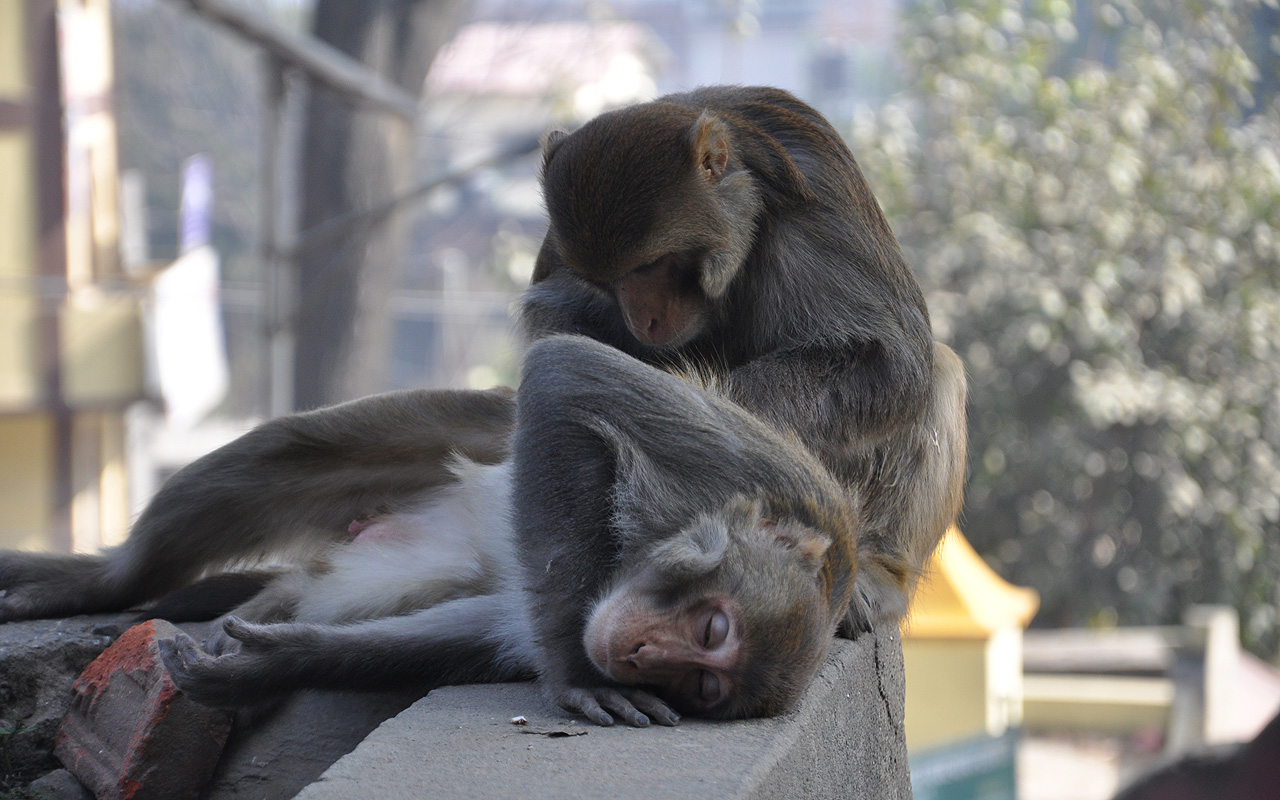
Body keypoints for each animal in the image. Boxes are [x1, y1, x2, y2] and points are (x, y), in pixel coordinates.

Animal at [0, 85, 967, 722]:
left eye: (709, 654)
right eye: (622, 276)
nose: (648, 319)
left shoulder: (808, 228)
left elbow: (892, 363)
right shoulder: (569, 265)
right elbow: (559, 351)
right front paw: (577, 673)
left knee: (942, 370)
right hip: (438, 433)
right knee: (287, 455)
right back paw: (108, 580)